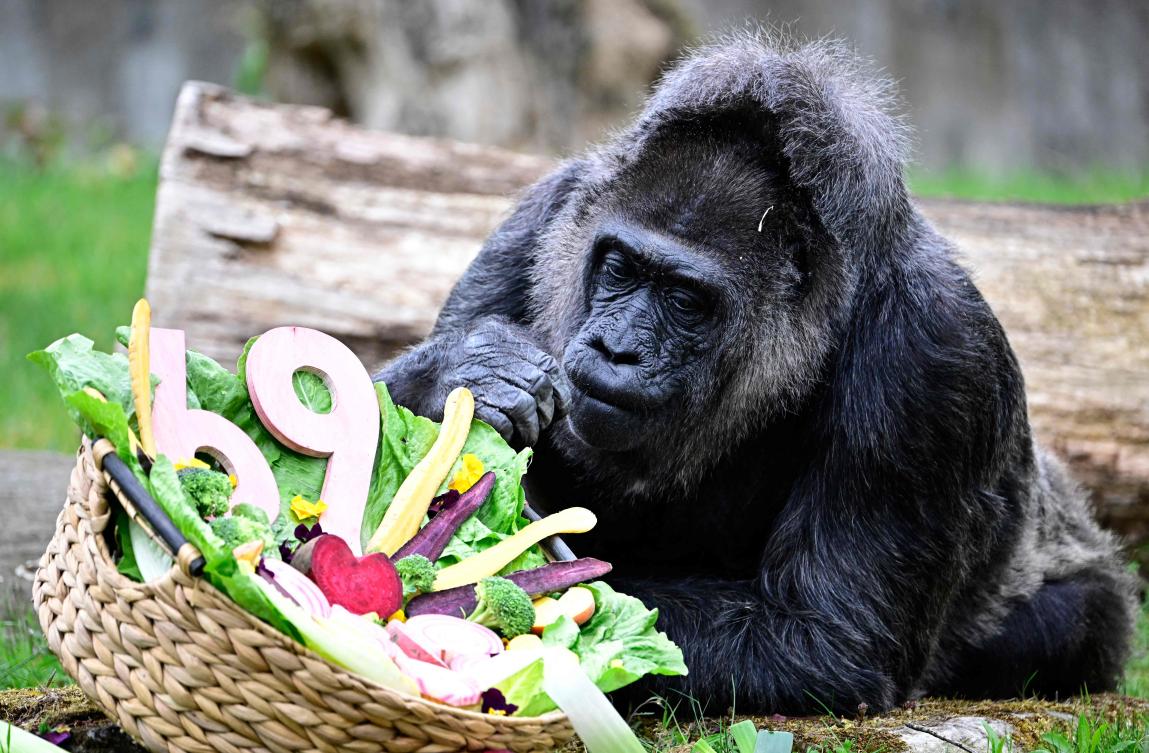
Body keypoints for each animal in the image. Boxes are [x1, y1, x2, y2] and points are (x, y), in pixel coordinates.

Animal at [375, 34, 1136, 714]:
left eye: (685, 300)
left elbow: (824, 637)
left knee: (1070, 623)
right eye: (619, 266)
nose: (617, 349)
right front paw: (468, 372)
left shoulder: (934, 353)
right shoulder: (547, 214)